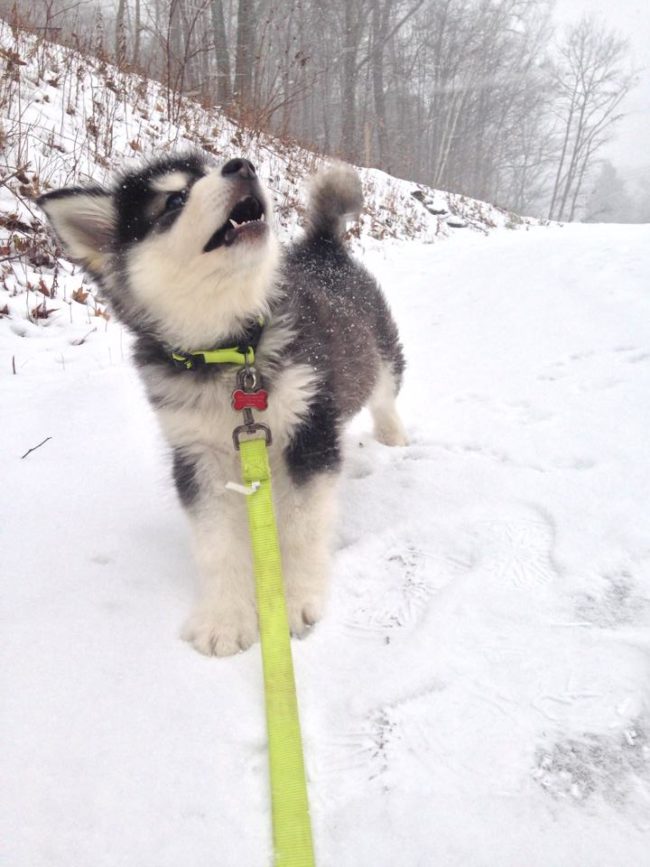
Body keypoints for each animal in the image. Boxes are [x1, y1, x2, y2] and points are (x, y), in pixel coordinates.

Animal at [38, 154, 404, 656]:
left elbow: (302, 526)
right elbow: (216, 544)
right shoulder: (196, 454)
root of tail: (322, 248)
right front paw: (225, 619)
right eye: (173, 199)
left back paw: (394, 434)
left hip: (381, 352)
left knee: (386, 392)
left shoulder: (308, 428)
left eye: (210, 165)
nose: (240, 165)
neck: (233, 349)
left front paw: (297, 599)